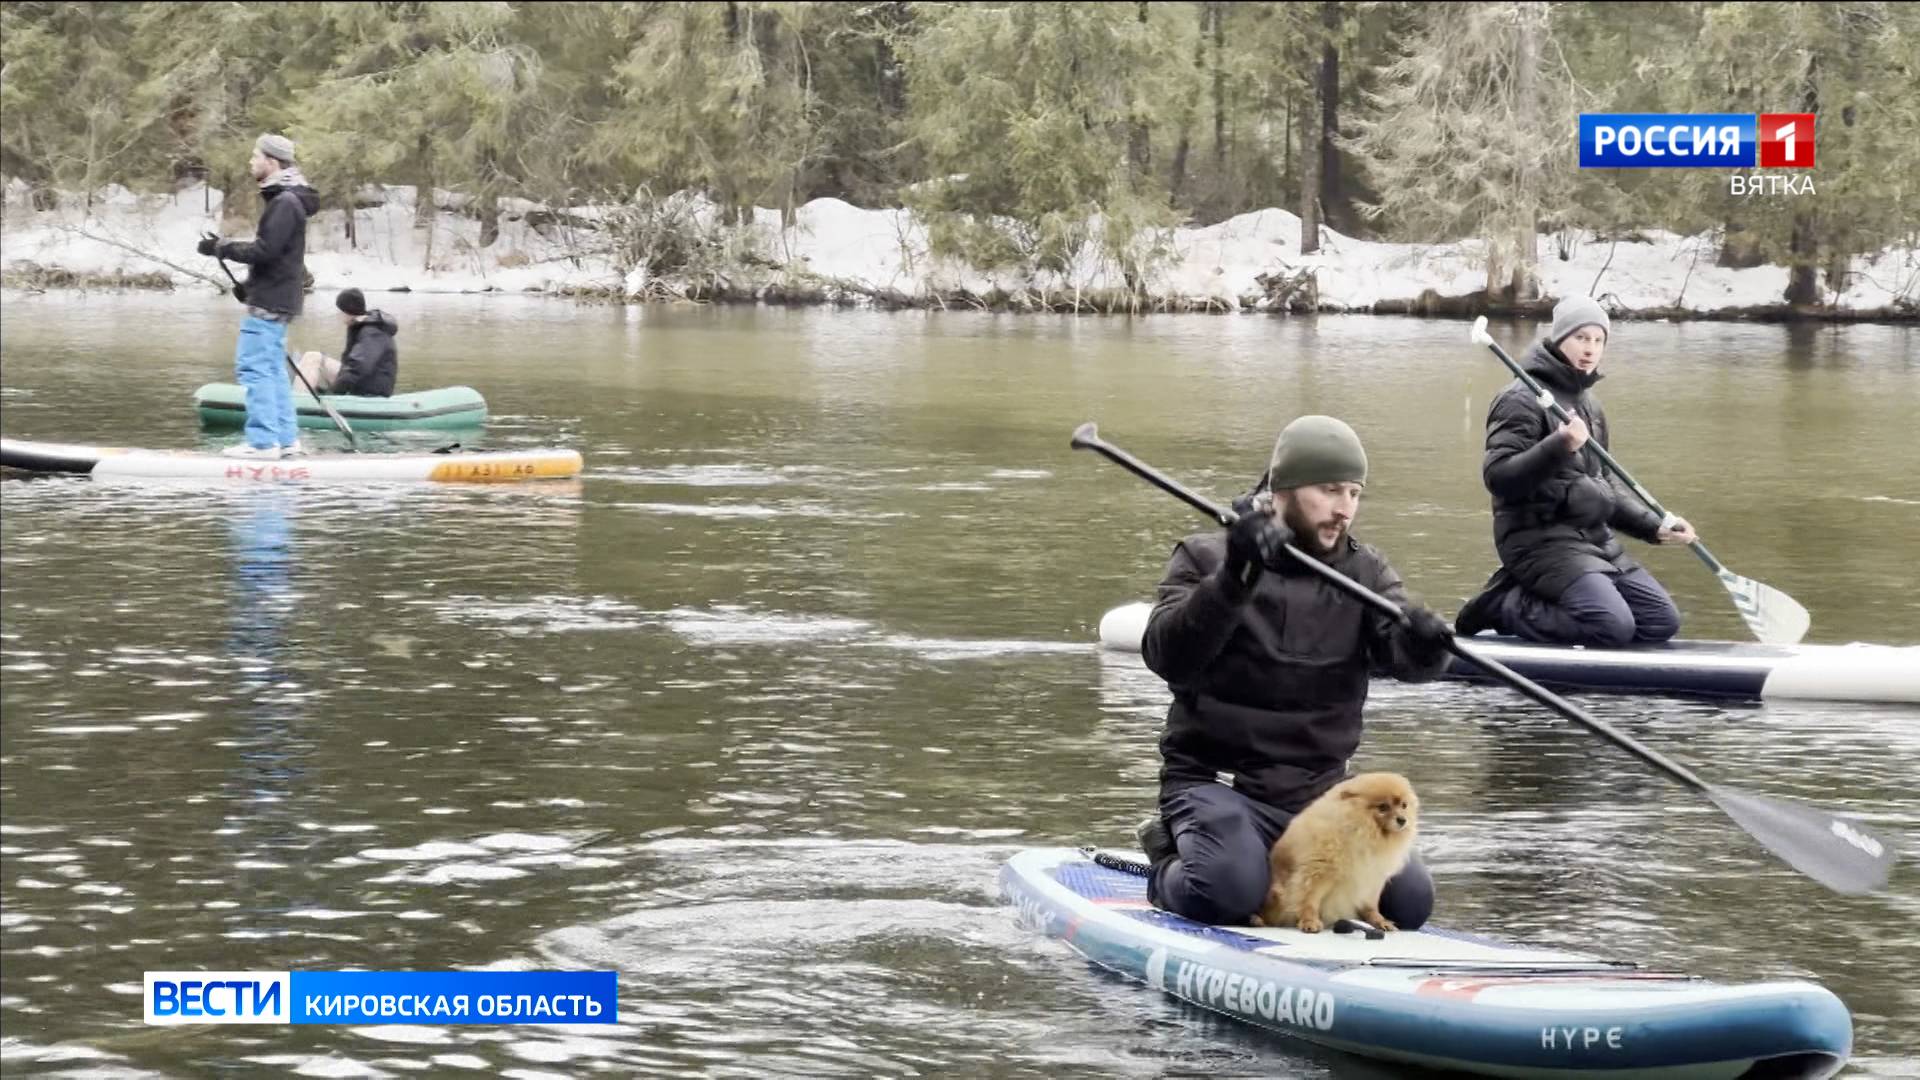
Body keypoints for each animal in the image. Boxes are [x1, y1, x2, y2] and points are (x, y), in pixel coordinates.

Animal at [1251, 768, 1420, 930]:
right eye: (1383, 807)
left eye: (1404, 806)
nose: (1402, 820)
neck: (1362, 833)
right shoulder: (1318, 871)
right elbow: (1309, 900)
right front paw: (1309, 921)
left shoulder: (1372, 879)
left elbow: (1370, 906)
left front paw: (1379, 921)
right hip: (1276, 893)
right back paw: (1257, 920)